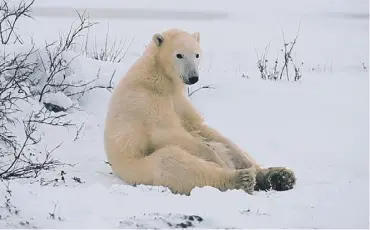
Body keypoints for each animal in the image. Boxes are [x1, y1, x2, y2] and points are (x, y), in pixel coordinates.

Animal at [103, 27, 294, 195]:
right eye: (179, 55)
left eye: (197, 54)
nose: (193, 77)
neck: (158, 77)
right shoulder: (146, 101)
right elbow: (167, 132)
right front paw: (217, 161)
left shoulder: (179, 100)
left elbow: (199, 126)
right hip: (140, 166)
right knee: (174, 163)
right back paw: (243, 178)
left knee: (224, 147)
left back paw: (278, 176)